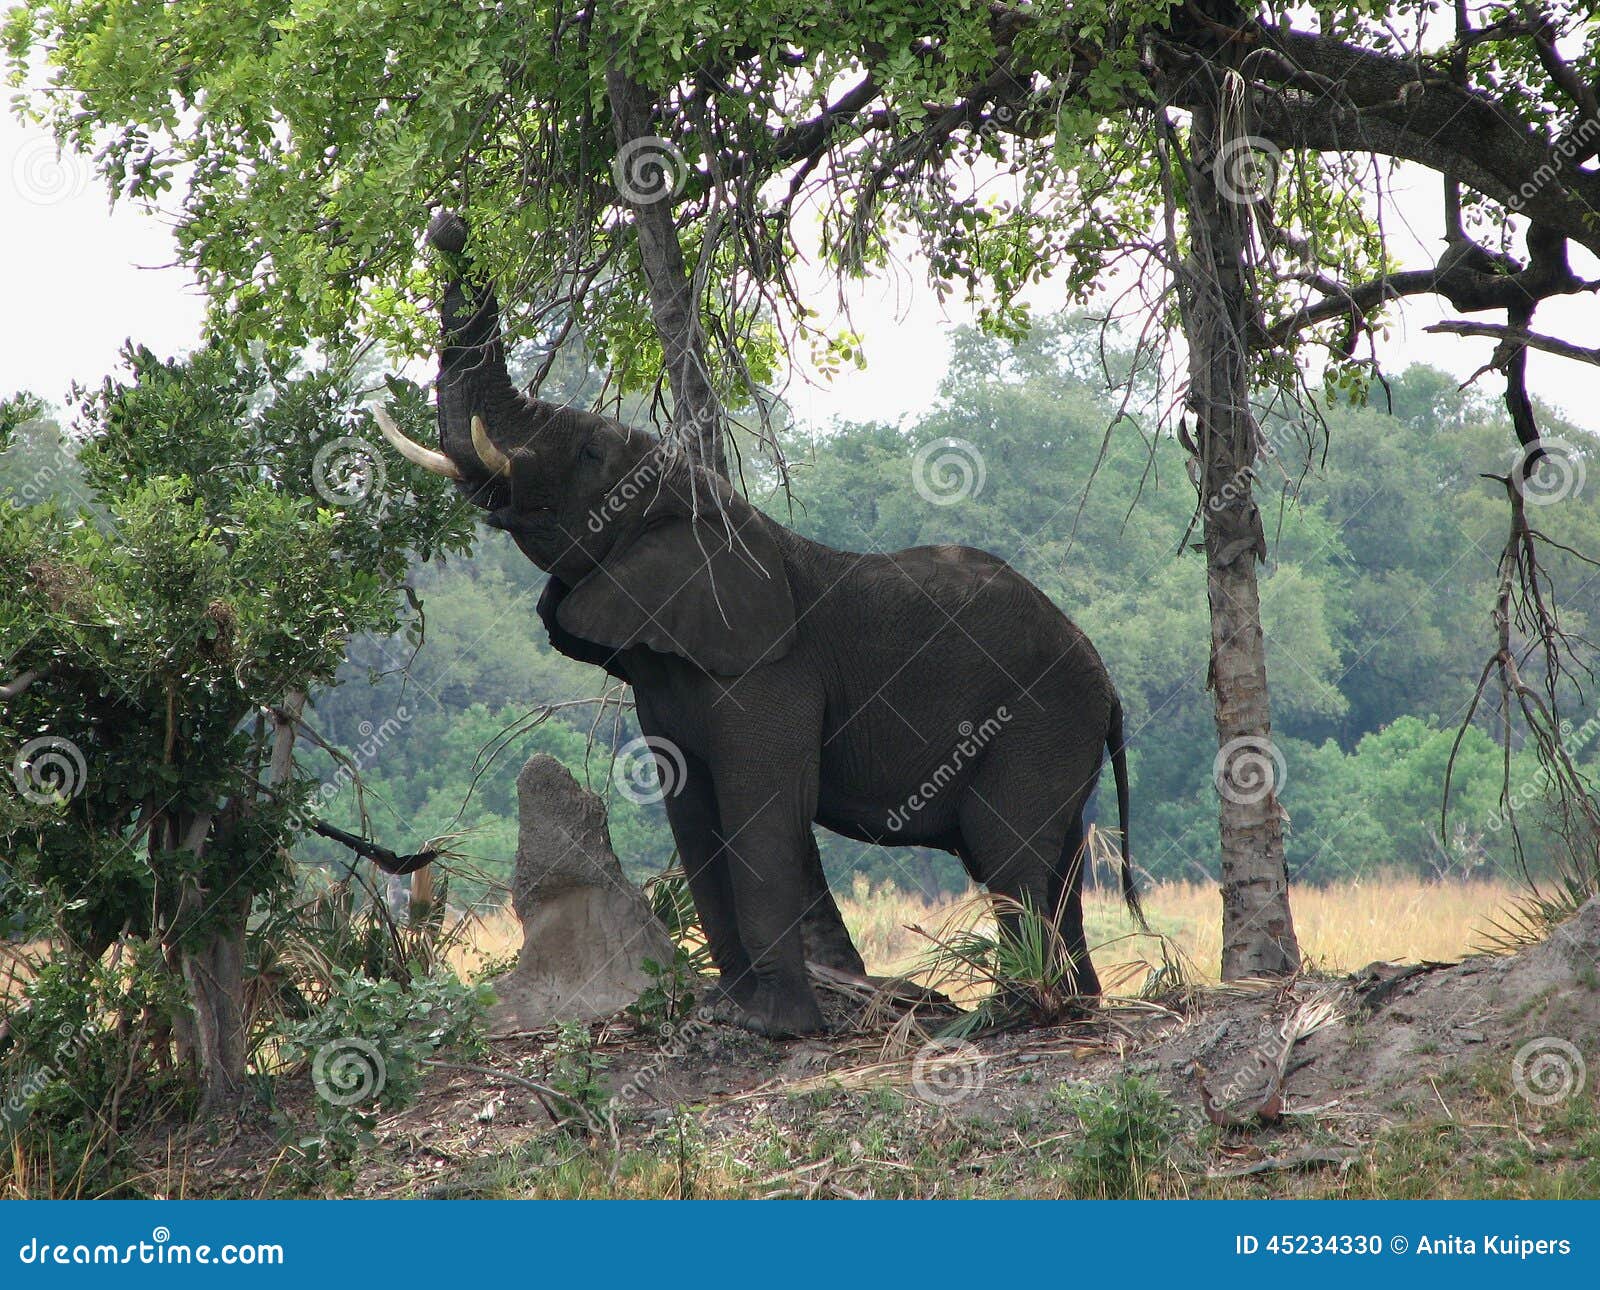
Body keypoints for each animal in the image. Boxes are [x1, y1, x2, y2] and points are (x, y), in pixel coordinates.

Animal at [376, 212, 1140, 1037]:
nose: (451, 224)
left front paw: (777, 1027)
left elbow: (762, 811)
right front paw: (734, 1009)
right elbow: (691, 811)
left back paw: (1019, 1012)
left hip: (1038, 719)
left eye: (589, 452)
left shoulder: (770, 672)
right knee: (1053, 864)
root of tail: (1107, 683)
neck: (703, 503)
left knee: (1008, 852)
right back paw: (1070, 1003)